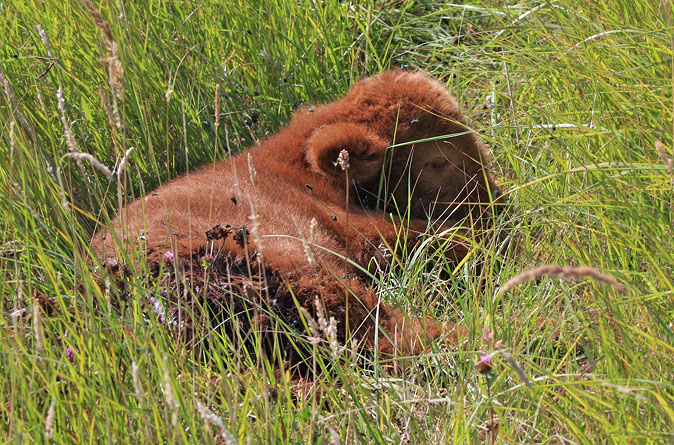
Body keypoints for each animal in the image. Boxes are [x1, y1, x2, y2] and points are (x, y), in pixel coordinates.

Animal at [92, 68, 496, 368]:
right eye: (436, 161)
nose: (497, 205)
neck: (298, 169)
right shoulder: (355, 228)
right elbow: (443, 238)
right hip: (314, 277)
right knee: (393, 334)